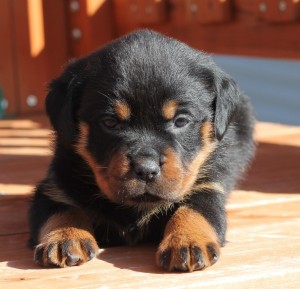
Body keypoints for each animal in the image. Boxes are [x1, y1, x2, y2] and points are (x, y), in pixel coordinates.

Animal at [28, 29, 255, 270]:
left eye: (181, 121)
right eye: (109, 122)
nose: (146, 169)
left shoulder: (207, 186)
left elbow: (196, 209)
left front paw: (187, 241)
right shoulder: (55, 186)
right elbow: (61, 209)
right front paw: (65, 237)